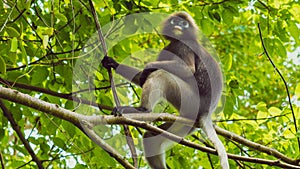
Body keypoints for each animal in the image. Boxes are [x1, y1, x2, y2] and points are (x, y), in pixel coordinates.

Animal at [102, 11, 229, 168]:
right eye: (176, 21)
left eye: (184, 23)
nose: (178, 25)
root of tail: (207, 112)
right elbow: (141, 77)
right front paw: (112, 63)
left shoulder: (183, 45)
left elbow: (187, 69)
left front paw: (148, 66)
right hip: (188, 121)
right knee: (150, 136)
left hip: (190, 99)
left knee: (161, 74)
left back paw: (143, 110)